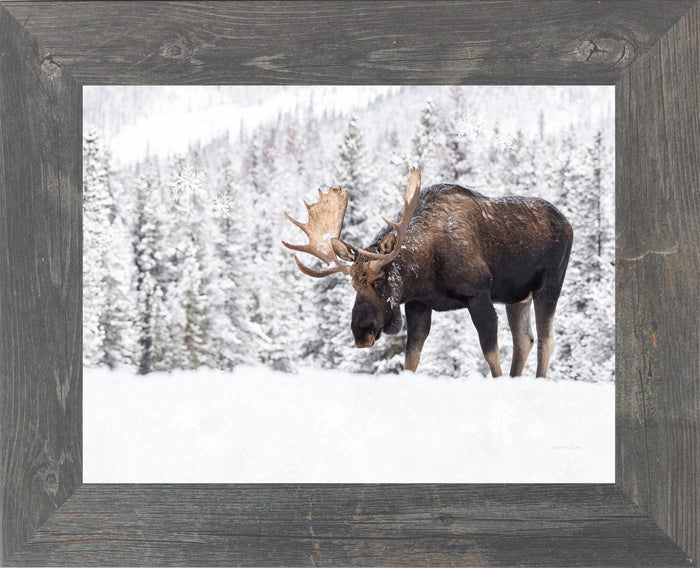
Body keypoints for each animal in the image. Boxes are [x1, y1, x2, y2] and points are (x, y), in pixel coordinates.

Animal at [283, 168, 573, 378]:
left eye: (379, 280)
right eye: (353, 283)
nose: (361, 332)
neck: (424, 270)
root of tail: (569, 224)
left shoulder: (478, 295)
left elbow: (491, 356)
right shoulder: (418, 305)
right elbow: (410, 361)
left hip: (550, 284)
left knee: (546, 340)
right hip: (517, 297)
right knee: (524, 340)